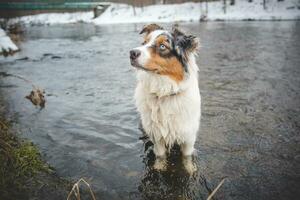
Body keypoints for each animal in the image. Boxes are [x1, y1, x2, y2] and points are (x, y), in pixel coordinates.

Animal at [129, 23, 202, 173]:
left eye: (162, 46)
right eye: (144, 43)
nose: (131, 53)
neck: (164, 93)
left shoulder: (188, 136)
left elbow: (187, 157)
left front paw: (190, 169)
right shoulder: (156, 136)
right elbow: (160, 156)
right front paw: (159, 167)